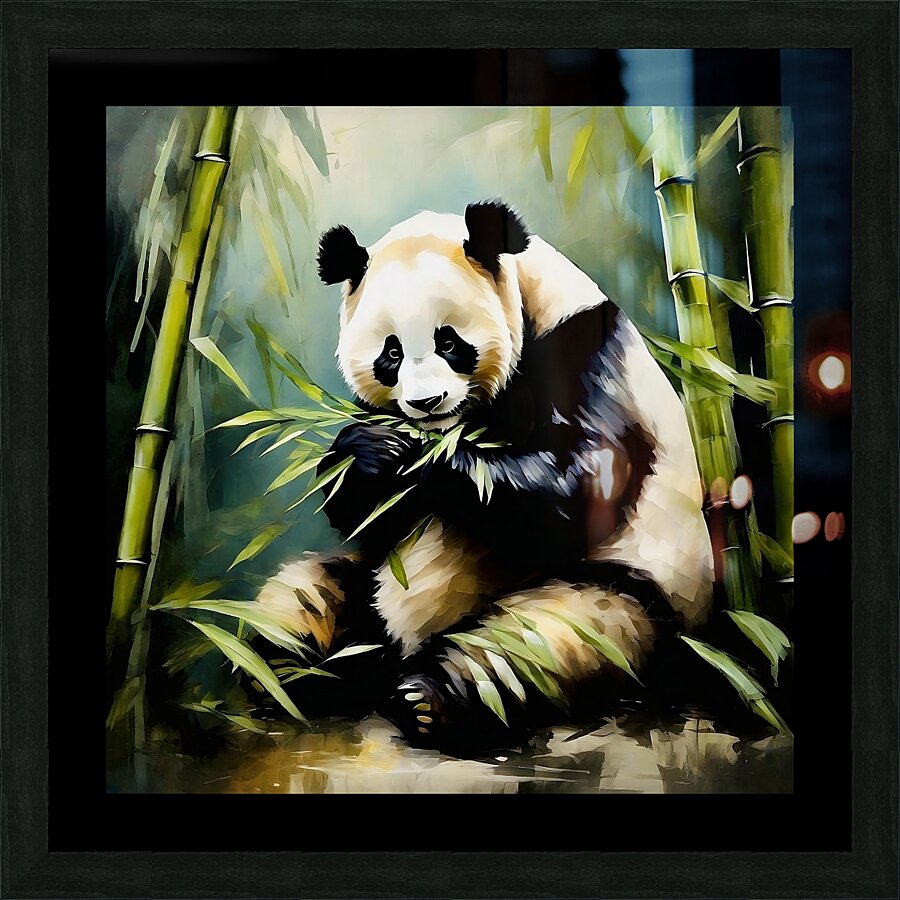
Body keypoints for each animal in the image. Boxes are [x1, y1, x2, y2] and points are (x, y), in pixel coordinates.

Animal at [255, 200, 714, 757]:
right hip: (357, 592)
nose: (426, 403)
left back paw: (424, 698)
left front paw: (424, 459)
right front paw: (370, 452)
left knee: (532, 641)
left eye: (449, 342)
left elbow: (578, 490)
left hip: (629, 598)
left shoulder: (586, 351)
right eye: (391, 353)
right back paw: (297, 672)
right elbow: (370, 519)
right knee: (305, 595)